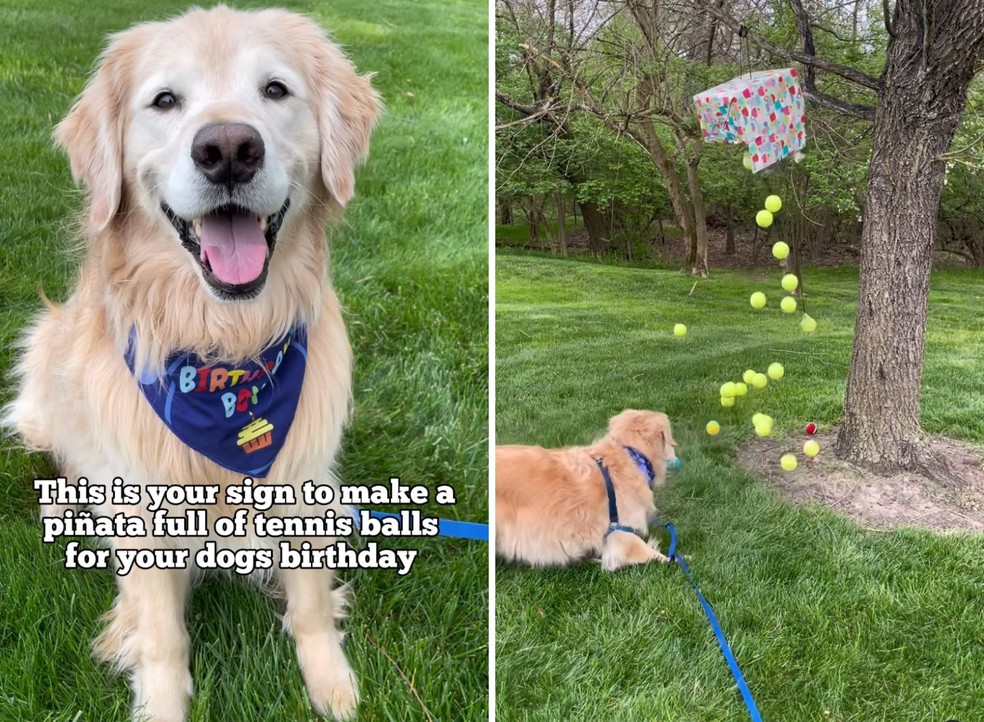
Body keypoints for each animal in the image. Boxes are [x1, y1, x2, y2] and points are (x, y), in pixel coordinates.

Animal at [3, 7, 378, 720]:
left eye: (275, 90)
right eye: (165, 101)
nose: (228, 149)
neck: (224, 353)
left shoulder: (301, 479)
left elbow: (312, 603)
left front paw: (332, 684)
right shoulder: (146, 514)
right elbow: (160, 632)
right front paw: (163, 701)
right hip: (42, 347)